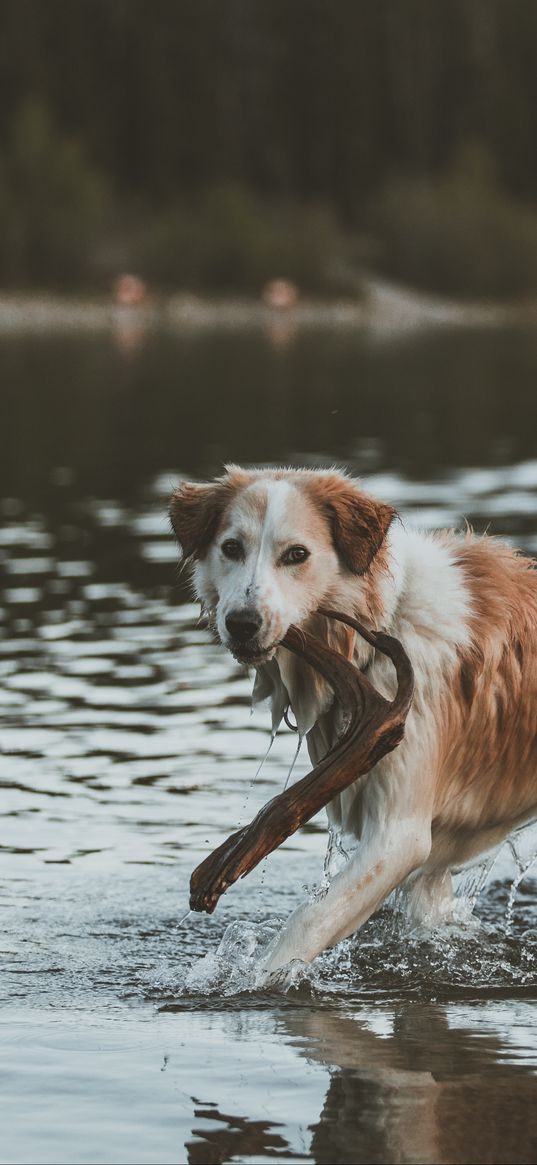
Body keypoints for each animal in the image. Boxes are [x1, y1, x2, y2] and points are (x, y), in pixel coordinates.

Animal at [170, 468, 535, 969]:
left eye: (297, 554)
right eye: (231, 547)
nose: (243, 623)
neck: (381, 624)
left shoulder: (399, 836)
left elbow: (305, 925)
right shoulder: (431, 868)